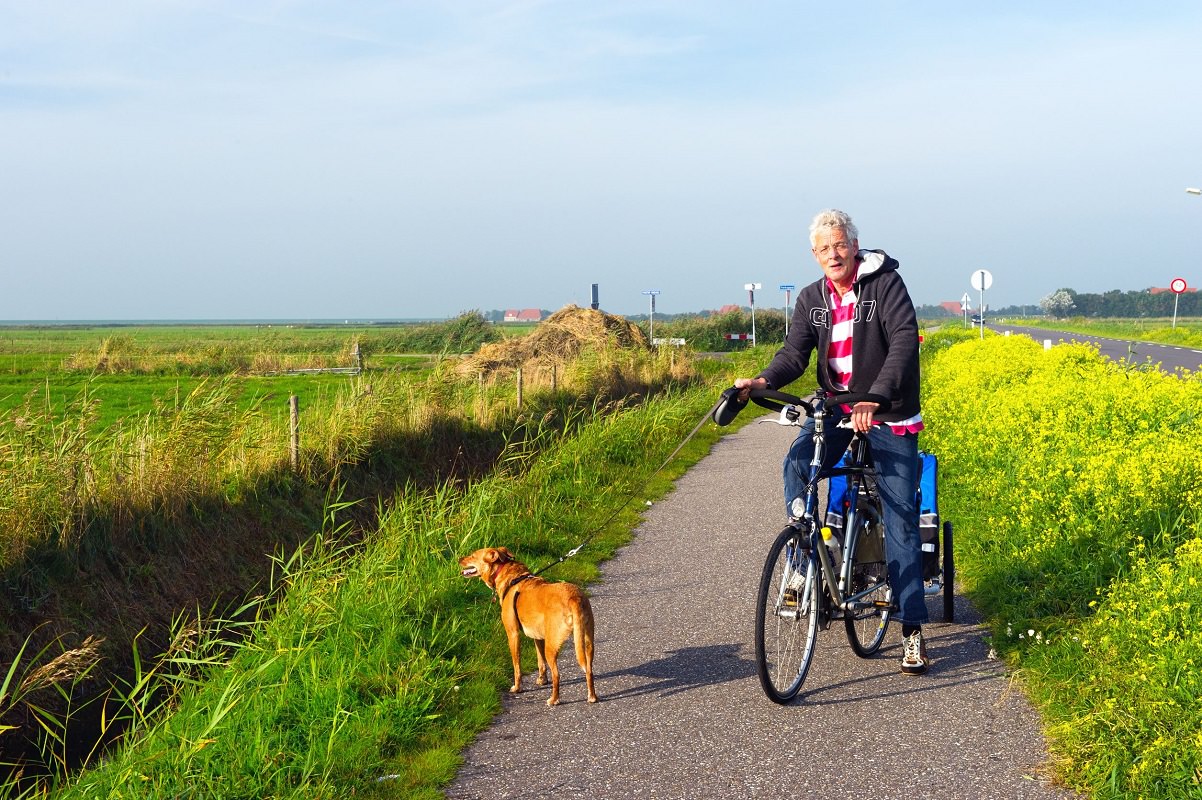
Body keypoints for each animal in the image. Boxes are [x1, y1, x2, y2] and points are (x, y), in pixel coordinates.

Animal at [456, 542, 598, 706]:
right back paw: (592, 696)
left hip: (552, 646)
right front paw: (542, 680)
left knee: (557, 674)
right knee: (589, 670)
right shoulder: (538, 637)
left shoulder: (513, 634)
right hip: (587, 642)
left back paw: (554, 699)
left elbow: (517, 666)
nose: (459, 558)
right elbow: (540, 662)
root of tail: (574, 597)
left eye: (473, 555)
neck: (511, 578)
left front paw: (517, 688)